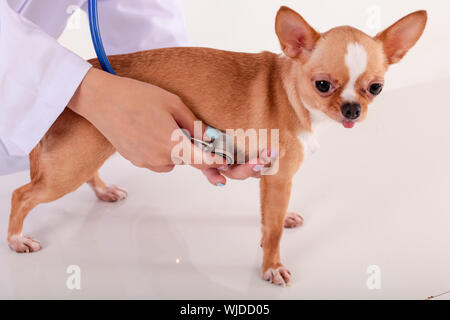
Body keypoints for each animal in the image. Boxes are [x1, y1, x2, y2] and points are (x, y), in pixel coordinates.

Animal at [7, 6, 428, 288]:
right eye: (323, 85)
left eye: (376, 88)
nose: (352, 109)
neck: (290, 91)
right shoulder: (279, 177)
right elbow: (272, 231)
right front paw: (271, 266)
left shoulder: (268, 177)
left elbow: (270, 218)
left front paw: (280, 223)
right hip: (69, 166)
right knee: (21, 195)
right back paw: (16, 239)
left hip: (94, 146)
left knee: (86, 175)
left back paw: (104, 190)